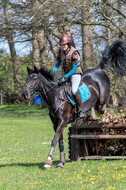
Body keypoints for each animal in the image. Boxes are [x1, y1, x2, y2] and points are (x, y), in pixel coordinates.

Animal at [22, 39, 126, 168]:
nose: (25, 94)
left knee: (102, 107)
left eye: (35, 79)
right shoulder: (56, 123)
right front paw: (61, 163)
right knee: (98, 108)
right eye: (27, 79)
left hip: (103, 98)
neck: (56, 97)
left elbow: (54, 140)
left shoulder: (62, 122)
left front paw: (48, 161)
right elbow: (60, 142)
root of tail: (98, 69)